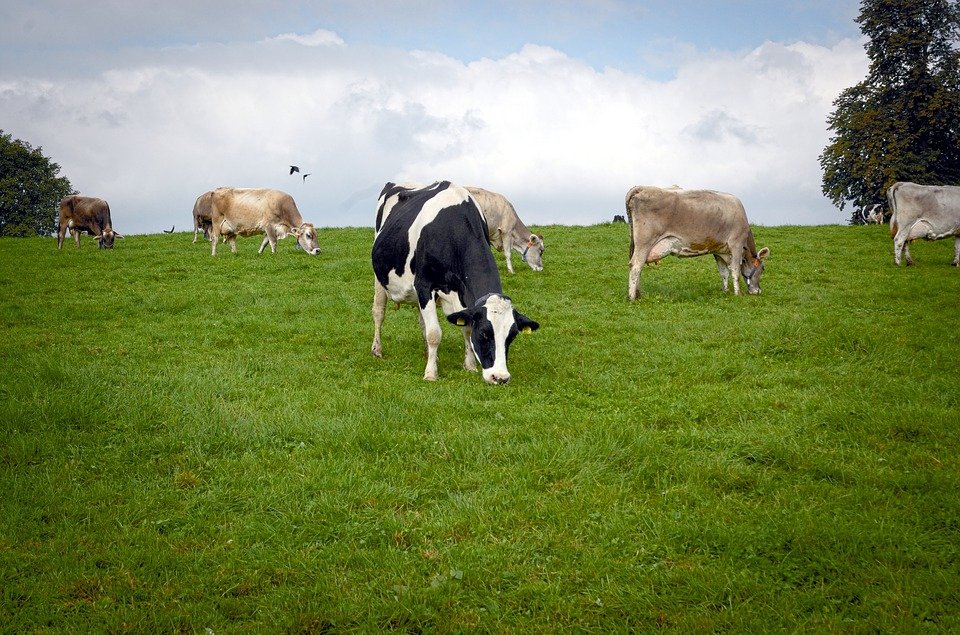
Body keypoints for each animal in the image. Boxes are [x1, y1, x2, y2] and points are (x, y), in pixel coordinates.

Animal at [371, 181, 539, 384]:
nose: (500, 377)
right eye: (484, 332)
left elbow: (464, 327)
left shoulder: (462, 294)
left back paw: (429, 354)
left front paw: (469, 365)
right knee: (379, 313)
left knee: (422, 321)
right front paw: (430, 374)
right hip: (380, 278)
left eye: (512, 335)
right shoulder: (424, 285)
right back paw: (377, 350)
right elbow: (434, 333)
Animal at [626, 185, 769, 299]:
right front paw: (737, 294)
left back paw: (638, 294)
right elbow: (735, 271)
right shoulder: (736, 245)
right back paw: (632, 297)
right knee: (636, 266)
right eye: (763, 268)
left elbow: (724, 272)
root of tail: (642, 187)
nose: (757, 291)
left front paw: (725, 291)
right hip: (644, 242)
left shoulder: (719, 251)